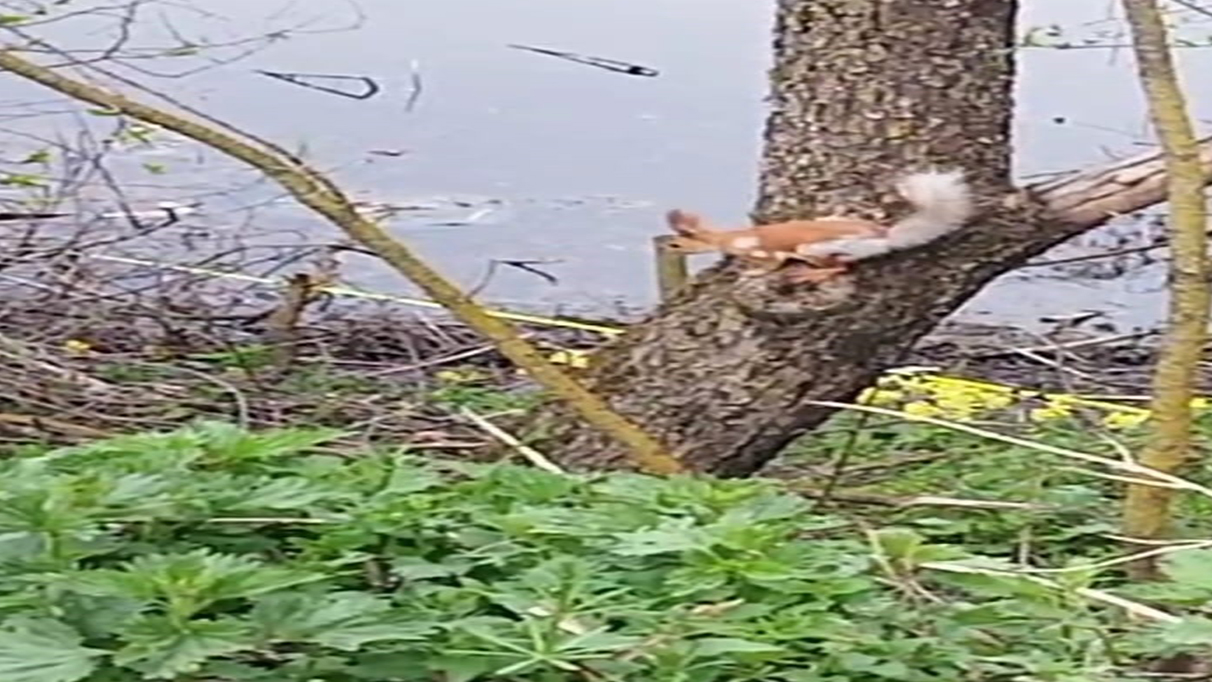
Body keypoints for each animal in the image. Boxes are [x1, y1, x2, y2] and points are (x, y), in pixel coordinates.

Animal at [664, 169, 974, 284]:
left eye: (676, 244)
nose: (669, 251)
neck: (729, 237)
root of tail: (883, 235)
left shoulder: (767, 252)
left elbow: (771, 264)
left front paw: (753, 272)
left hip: (815, 249)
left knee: (841, 267)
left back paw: (809, 274)